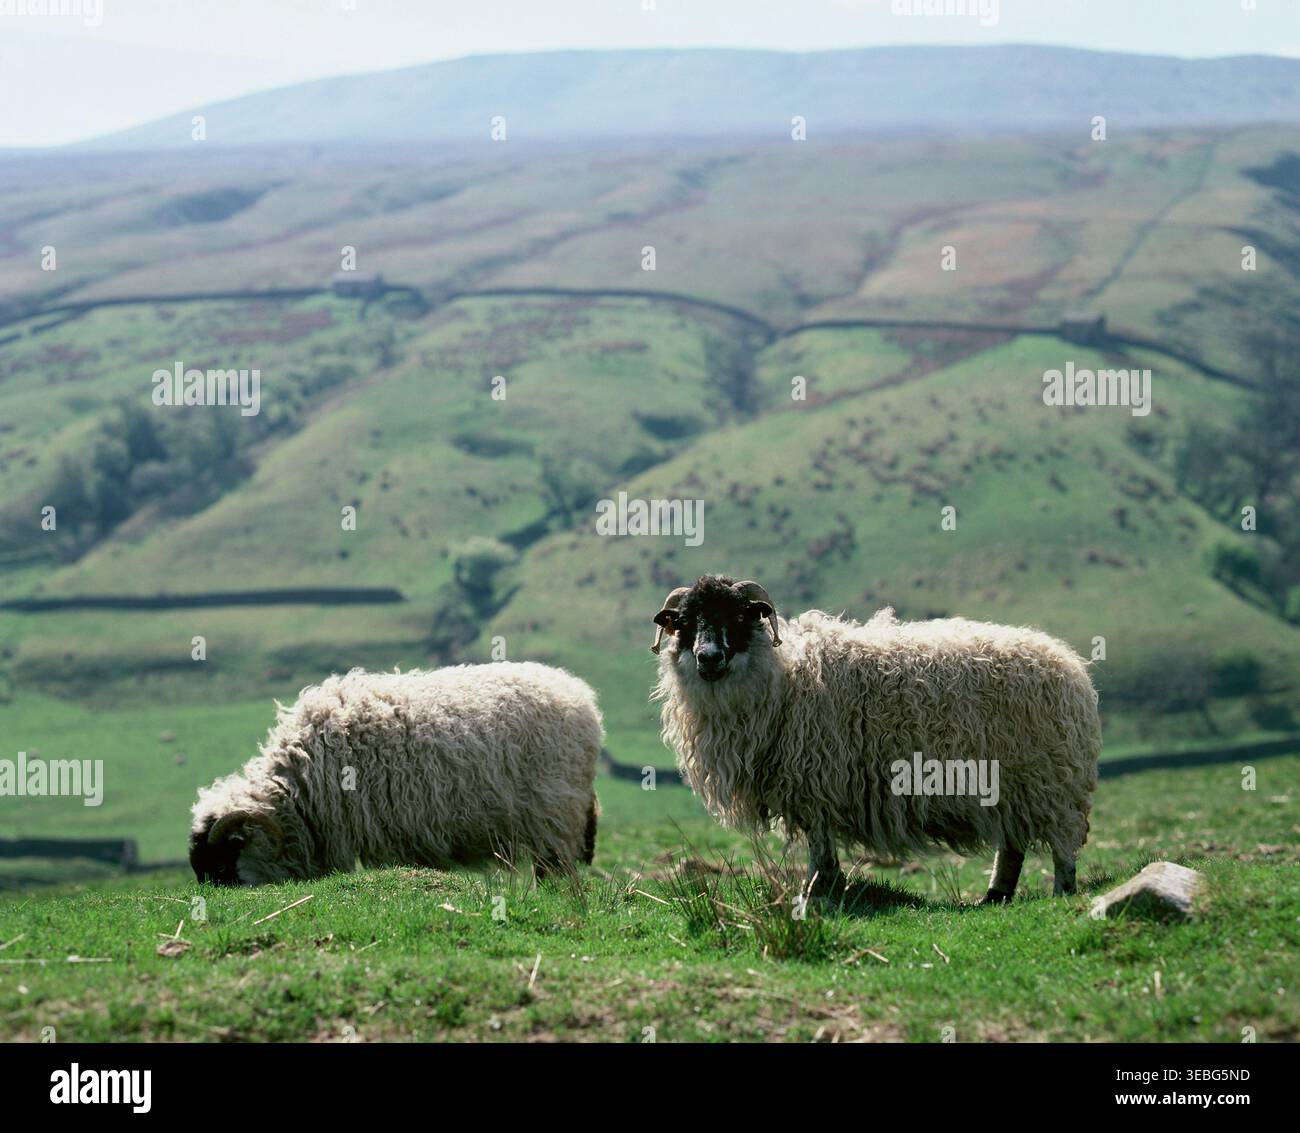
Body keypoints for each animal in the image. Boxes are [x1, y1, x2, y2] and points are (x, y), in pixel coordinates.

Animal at [651, 575, 1100, 902]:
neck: (781, 680)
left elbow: (819, 846)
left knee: (1060, 844)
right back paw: (995, 896)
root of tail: (1070, 665)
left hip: (1050, 780)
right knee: (1012, 845)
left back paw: (1061, 891)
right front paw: (825, 887)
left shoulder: (816, 780)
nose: (709, 657)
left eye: (740, 616)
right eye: (685, 622)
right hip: (1010, 783)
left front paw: (814, 892)